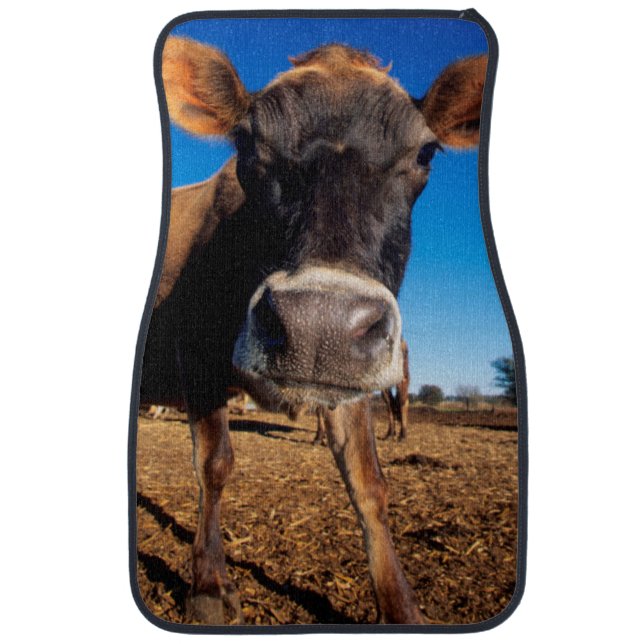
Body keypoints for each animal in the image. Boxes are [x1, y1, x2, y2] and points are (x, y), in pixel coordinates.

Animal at [139, 36, 486, 624]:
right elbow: (214, 463)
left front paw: (401, 606)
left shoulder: (352, 372)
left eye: (426, 152)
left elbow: (369, 483)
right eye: (245, 142)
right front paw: (209, 586)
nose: (318, 324)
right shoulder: (197, 351)